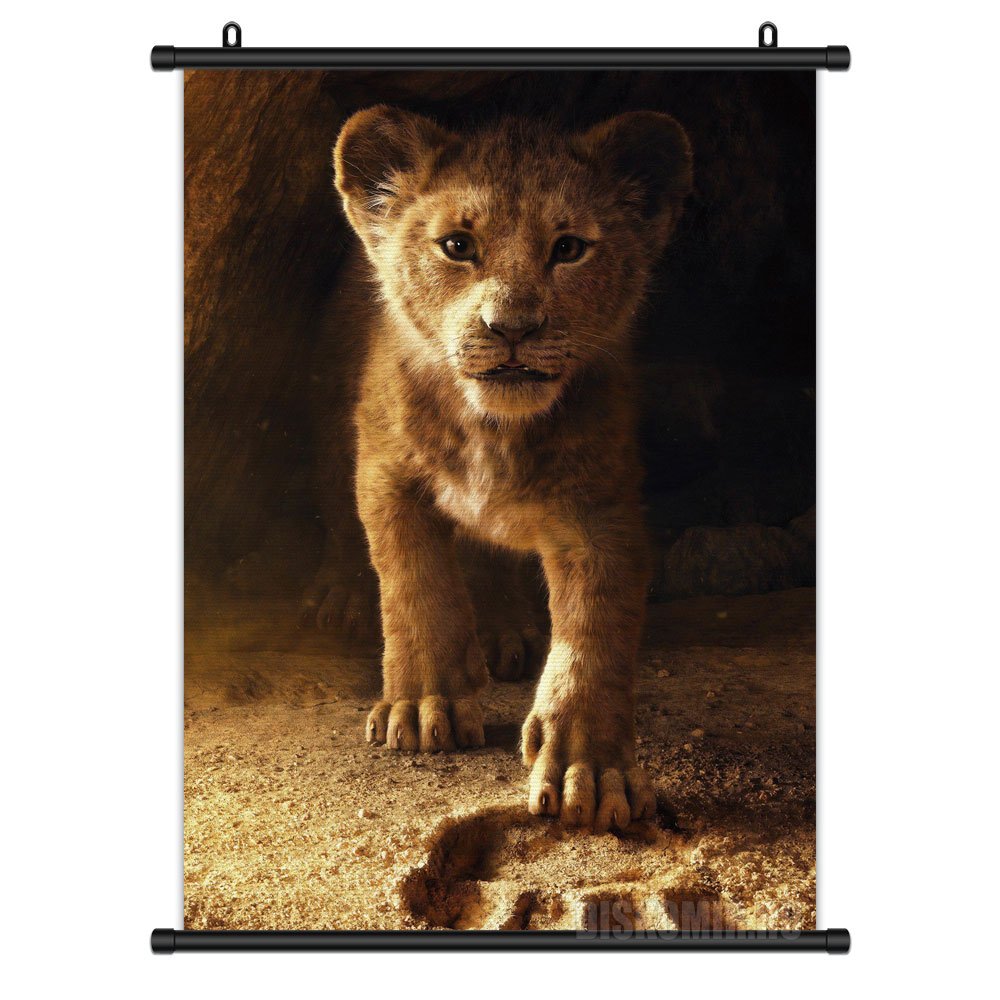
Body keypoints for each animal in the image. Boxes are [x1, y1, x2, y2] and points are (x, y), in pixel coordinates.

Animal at [324, 105, 692, 830]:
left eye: (569, 248)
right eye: (457, 245)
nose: (512, 328)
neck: (493, 429)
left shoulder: (600, 510)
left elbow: (594, 632)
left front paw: (590, 767)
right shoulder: (386, 473)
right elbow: (416, 586)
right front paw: (424, 704)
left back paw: (502, 632)